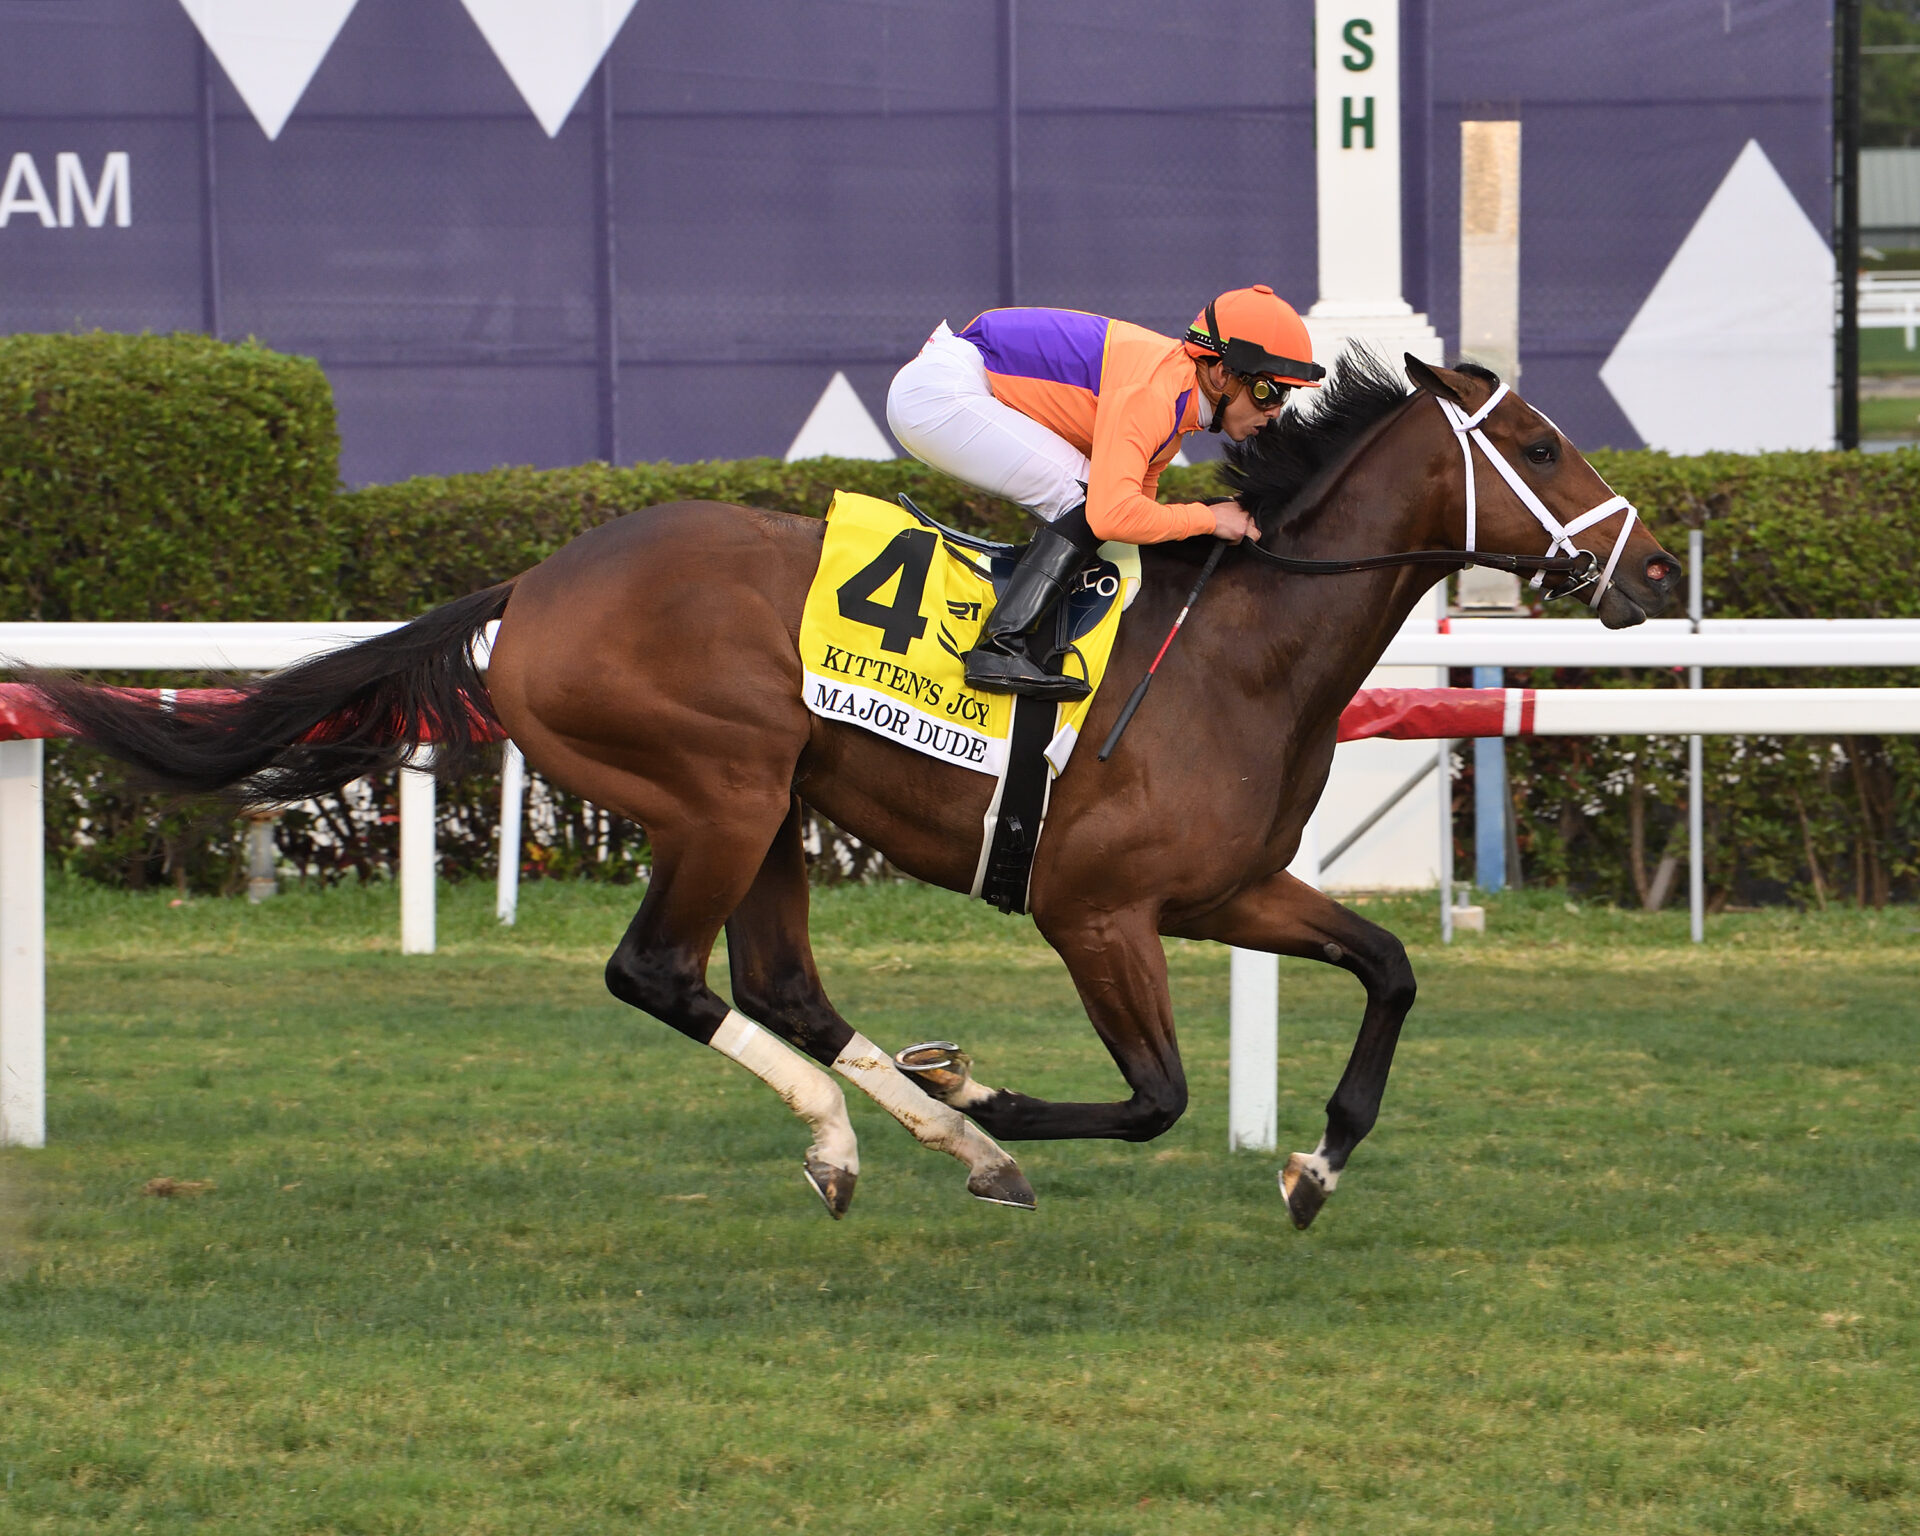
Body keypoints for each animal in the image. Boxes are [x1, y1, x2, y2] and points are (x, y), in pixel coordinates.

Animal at [32, 352, 1682, 1228]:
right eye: (1539, 444)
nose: (1659, 571)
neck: (1243, 647)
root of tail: (533, 583)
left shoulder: (1227, 888)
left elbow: (1392, 967)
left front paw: (1317, 1162)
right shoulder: (1096, 911)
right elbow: (1154, 1096)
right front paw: (990, 1087)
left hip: (773, 808)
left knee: (779, 987)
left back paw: (920, 1133)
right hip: (720, 788)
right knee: (661, 973)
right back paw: (874, 1132)